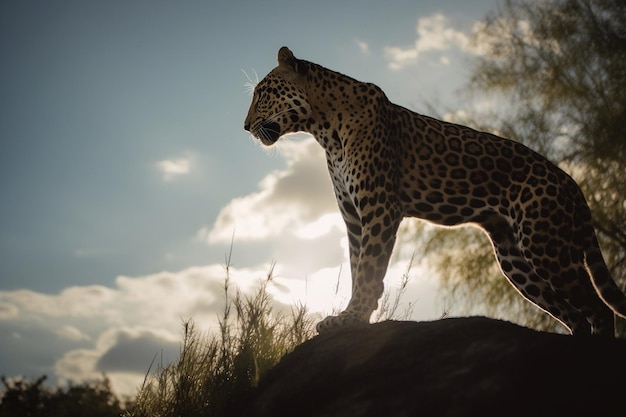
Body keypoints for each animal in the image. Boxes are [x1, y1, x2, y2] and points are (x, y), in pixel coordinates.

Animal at [243, 47, 624, 336]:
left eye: (263, 94)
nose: (245, 127)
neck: (323, 129)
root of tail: (574, 184)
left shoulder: (379, 207)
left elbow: (369, 267)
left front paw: (351, 318)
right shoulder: (352, 218)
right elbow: (356, 265)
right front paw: (356, 315)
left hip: (548, 247)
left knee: (599, 309)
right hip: (515, 259)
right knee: (576, 315)